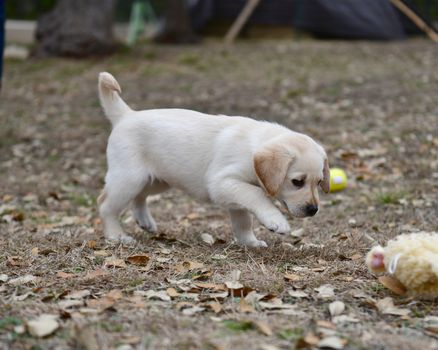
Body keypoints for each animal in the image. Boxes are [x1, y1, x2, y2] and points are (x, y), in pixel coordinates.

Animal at [96, 72, 328, 246]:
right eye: (297, 182)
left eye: (318, 182)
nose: (313, 210)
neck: (252, 149)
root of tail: (126, 115)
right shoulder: (222, 183)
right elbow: (256, 195)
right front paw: (275, 220)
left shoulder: (234, 195)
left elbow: (243, 222)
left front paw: (250, 243)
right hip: (129, 178)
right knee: (105, 204)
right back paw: (116, 236)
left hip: (157, 180)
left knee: (139, 197)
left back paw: (144, 221)